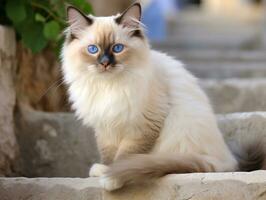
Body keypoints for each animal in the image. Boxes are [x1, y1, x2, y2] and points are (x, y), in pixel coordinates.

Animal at [60, 2, 264, 191]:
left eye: (117, 48)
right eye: (93, 49)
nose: (104, 64)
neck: (109, 86)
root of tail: (227, 161)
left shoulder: (142, 126)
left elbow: (124, 157)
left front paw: (111, 178)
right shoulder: (106, 127)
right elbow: (109, 155)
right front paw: (104, 170)